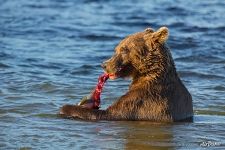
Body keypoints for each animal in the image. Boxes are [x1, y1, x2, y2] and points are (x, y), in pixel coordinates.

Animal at [59, 26, 193, 122]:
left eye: (124, 49)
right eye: (116, 49)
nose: (104, 65)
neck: (149, 73)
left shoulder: (144, 100)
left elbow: (109, 113)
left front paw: (66, 107)